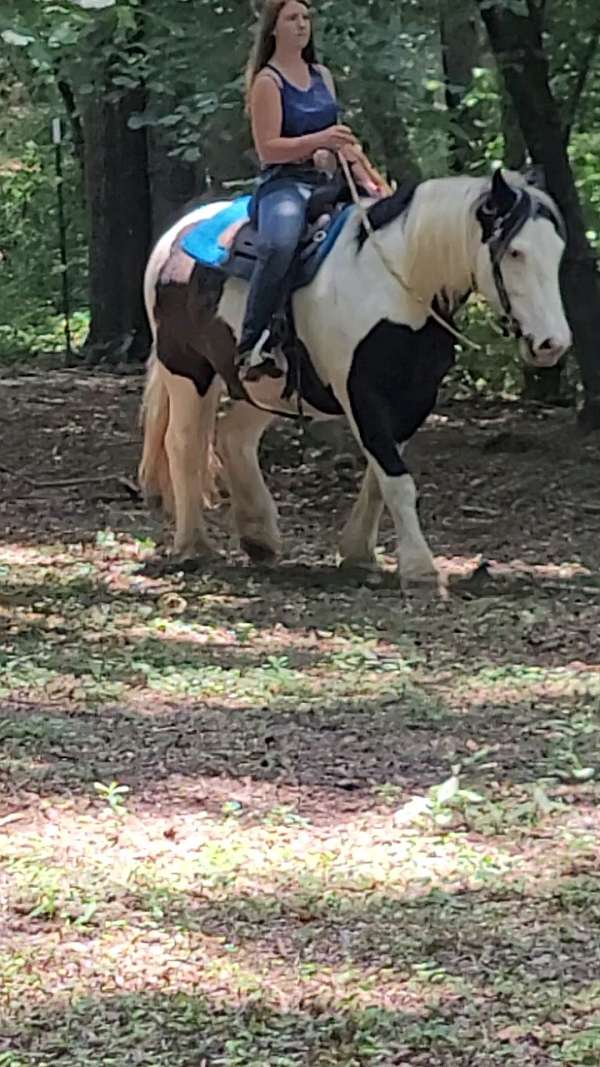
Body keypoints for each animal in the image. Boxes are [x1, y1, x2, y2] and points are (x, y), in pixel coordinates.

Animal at [136, 168, 567, 584]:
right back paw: (193, 546)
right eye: (515, 251)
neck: (397, 284)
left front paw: (359, 553)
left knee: (233, 436)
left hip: (268, 388)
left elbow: (381, 479)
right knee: (184, 445)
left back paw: (259, 537)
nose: (553, 343)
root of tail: (175, 235)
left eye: (558, 251)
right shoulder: (361, 393)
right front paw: (420, 568)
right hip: (187, 368)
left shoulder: (414, 398)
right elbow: (395, 479)